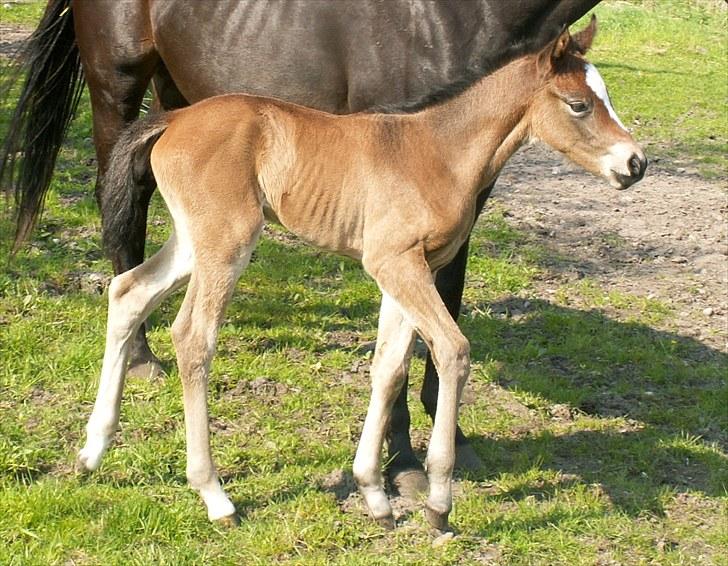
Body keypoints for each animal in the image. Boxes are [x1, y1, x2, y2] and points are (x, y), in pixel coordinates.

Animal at [78, 17, 648, 532]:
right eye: (579, 104)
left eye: (605, 95)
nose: (635, 163)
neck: (438, 151)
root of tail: (173, 120)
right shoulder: (396, 264)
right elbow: (453, 350)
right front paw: (438, 503)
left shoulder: (406, 270)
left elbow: (388, 368)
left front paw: (375, 495)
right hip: (227, 242)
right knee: (193, 336)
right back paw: (216, 498)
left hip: (192, 240)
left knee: (128, 291)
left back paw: (91, 452)